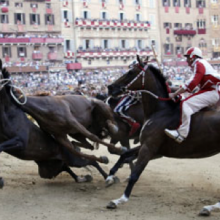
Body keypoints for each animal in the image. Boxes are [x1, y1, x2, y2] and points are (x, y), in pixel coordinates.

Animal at [105, 55, 220, 213]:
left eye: (130, 72)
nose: (110, 87)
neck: (160, 111)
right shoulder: (148, 145)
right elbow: (124, 155)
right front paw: (110, 176)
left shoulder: (149, 147)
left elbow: (135, 174)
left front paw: (119, 200)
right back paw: (210, 207)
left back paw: (210, 207)